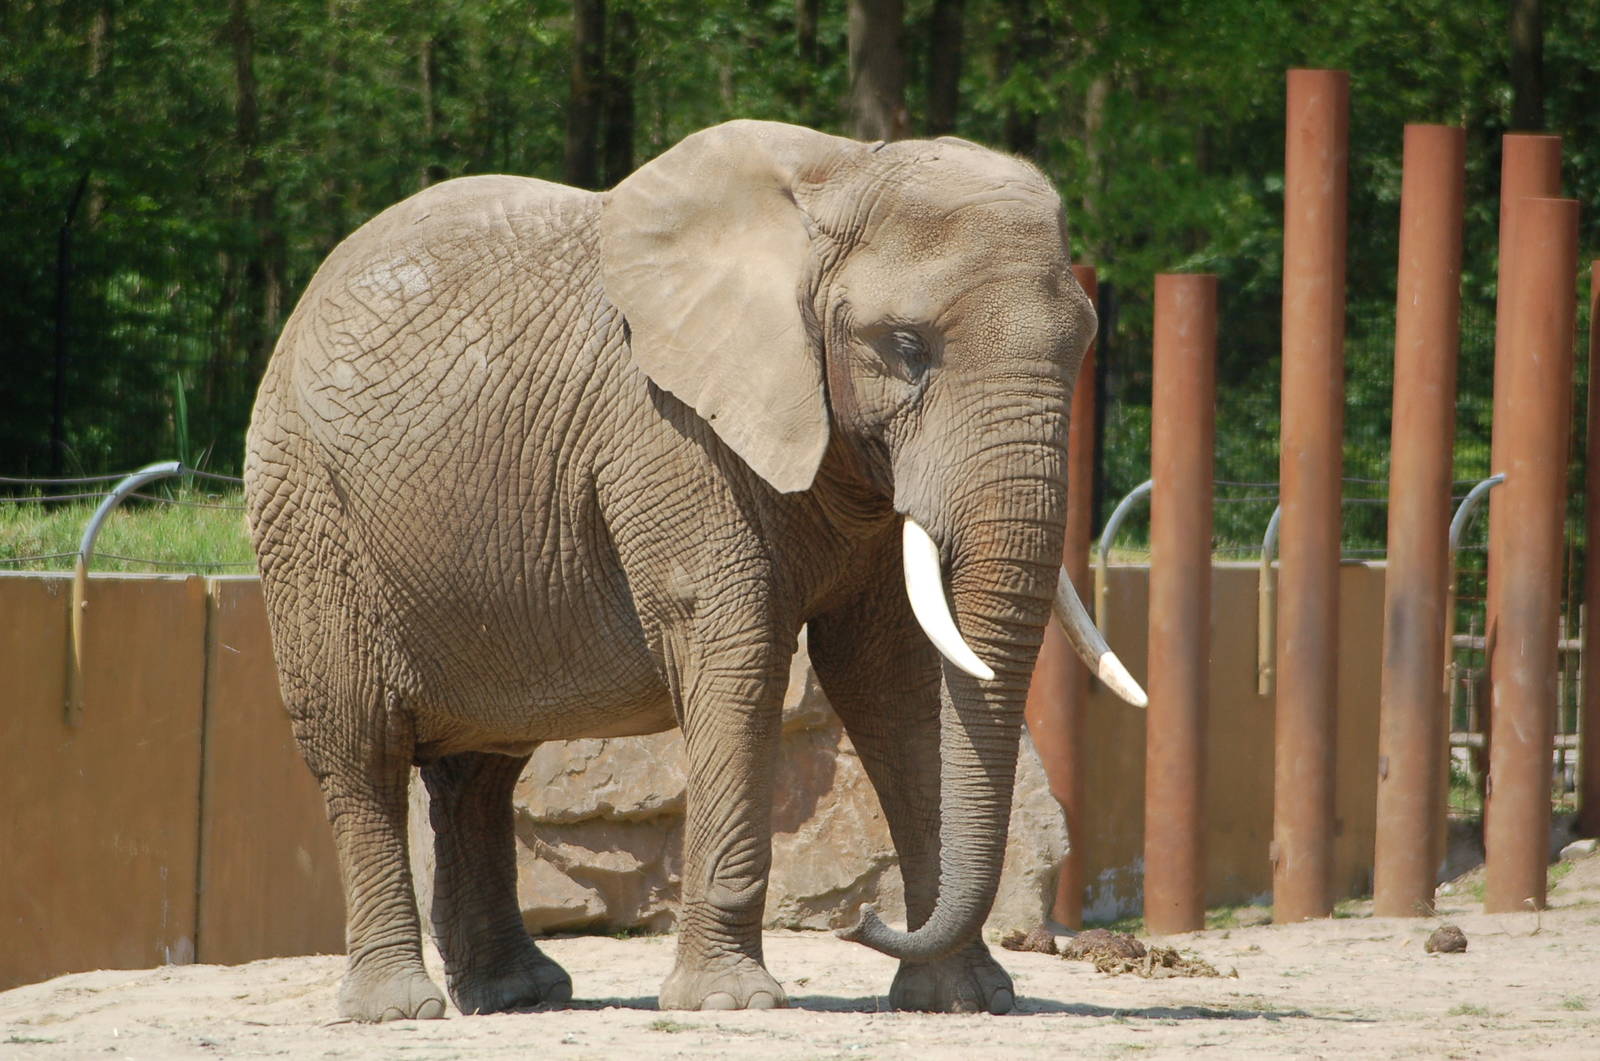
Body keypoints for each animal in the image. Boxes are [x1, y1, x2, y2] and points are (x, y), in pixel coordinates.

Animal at [243, 119, 1145, 1023]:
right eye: (905, 346)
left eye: (1083, 346)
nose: (861, 919)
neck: (843, 174)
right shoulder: (668, 432)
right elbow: (737, 653)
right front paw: (731, 1001)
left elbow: (897, 677)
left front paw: (962, 1001)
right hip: (305, 509)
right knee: (360, 743)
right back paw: (399, 1008)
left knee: (483, 765)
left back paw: (519, 994)